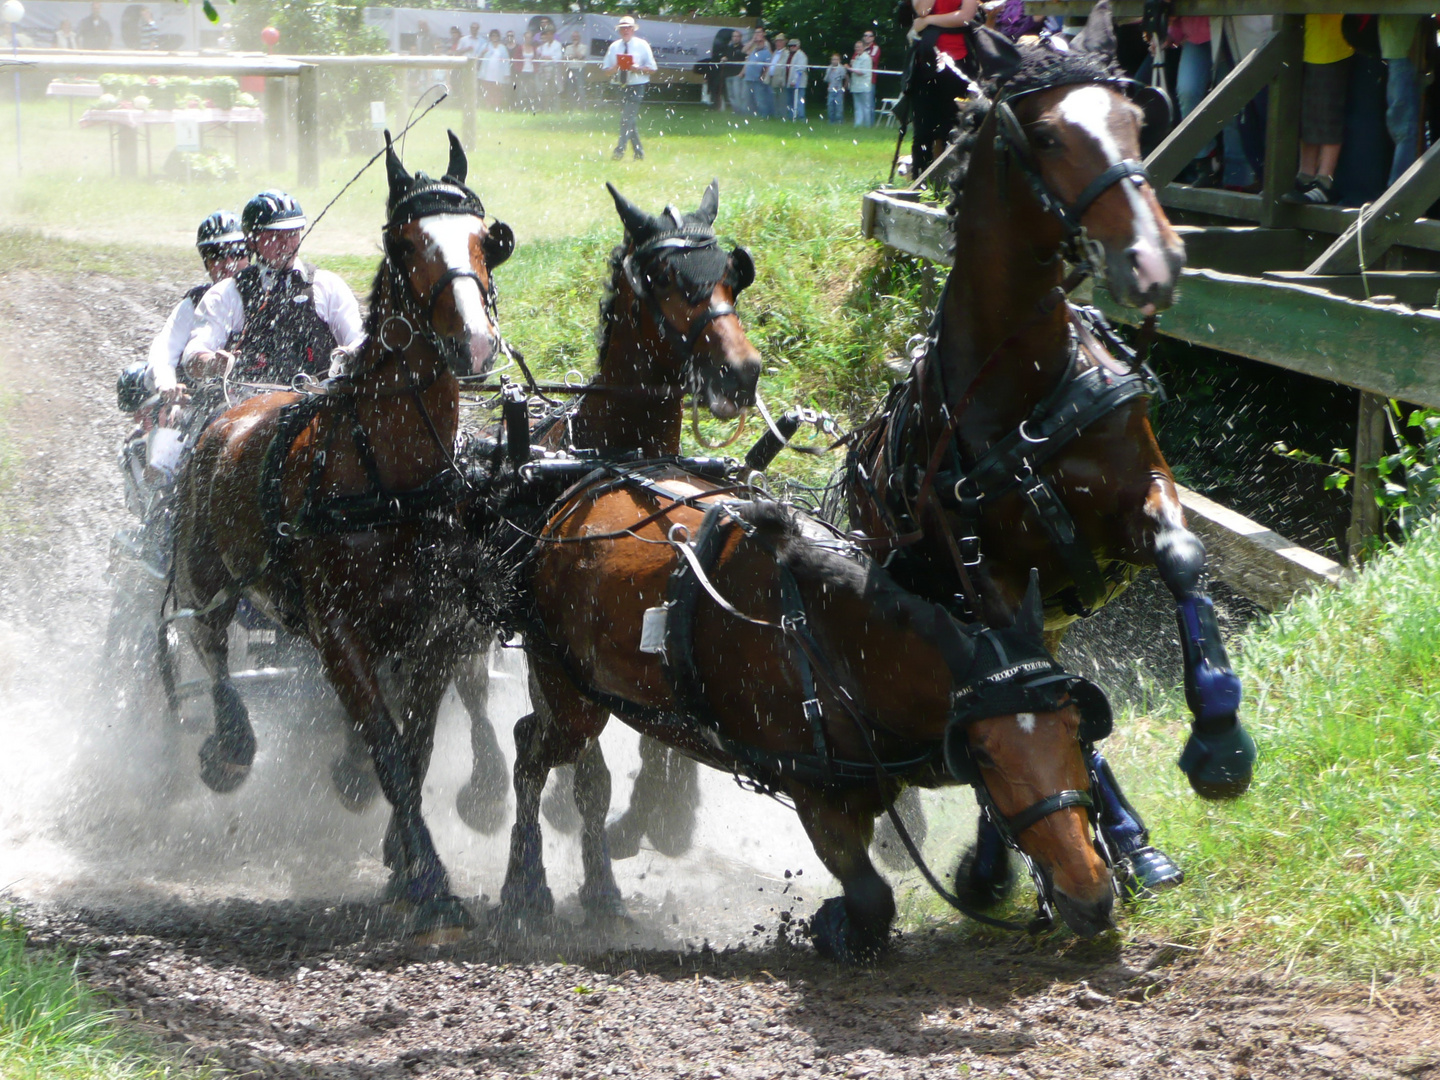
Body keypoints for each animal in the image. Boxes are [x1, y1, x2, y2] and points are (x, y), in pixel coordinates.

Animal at [170, 135, 515, 944]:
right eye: (405, 242)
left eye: (487, 239)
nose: (474, 344)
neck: (388, 470)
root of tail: (235, 405)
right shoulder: (340, 633)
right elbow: (388, 749)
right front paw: (432, 886)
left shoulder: (432, 630)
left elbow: (415, 750)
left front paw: (402, 864)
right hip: (206, 574)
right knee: (209, 645)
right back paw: (229, 749)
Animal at [501, 486, 1117, 961]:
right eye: (983, 751)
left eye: (1076, 728)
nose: (1091, 891)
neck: (837, 644)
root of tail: (572, 502)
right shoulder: (814, 791)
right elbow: (871, 899)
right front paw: (834, 926)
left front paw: (980, 878)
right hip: (569, 692)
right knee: (533, 751)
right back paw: (525, 891)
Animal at [846, 12, 1255, 904]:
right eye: (1042, 134)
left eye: (1137, 121)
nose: (1155, 260)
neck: (1023, 387)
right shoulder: (987, 581)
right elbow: (1022, 697)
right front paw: (1010, 855)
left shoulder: (1139, 490)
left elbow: (1184, 556)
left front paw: (1219, 739)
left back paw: (1125, 842)